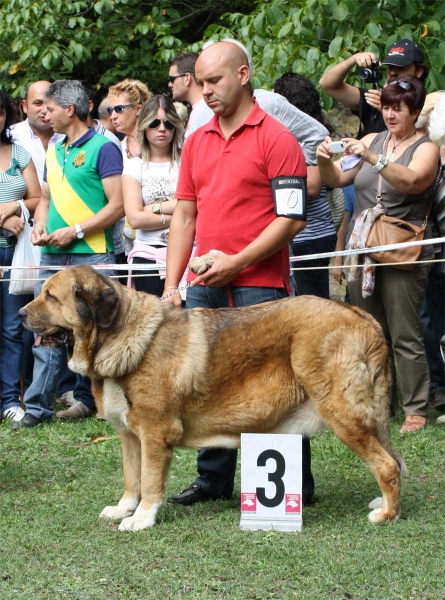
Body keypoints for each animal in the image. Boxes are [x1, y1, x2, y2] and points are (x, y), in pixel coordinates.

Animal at [19, 264, 404, 532]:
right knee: (393, 461)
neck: (117, 336)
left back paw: (387, 514)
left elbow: (149, 482)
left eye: (51, 297)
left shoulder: (155, 435)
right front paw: (123, 508)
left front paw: (141, 519)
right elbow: (132, 479)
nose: (21, 314)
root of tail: (361, 316)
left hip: (343, 415)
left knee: (386, 465)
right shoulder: (129, 435)